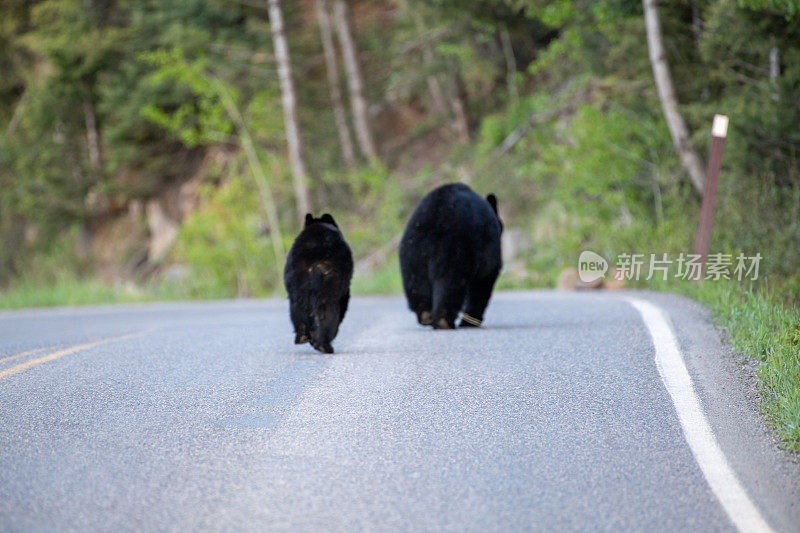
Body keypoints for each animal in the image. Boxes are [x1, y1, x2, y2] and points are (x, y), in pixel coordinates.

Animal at [284, 212, 354, 354]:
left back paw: (302, 335)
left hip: (295, 277)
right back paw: (324, 344)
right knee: (328, 307)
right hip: (332, 279)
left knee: (297, 306)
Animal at [398, 185, 504, 330]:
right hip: (456, 248)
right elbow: (482, 284)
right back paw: (444, 321)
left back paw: (426, 315)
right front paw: (470, 322)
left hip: (412, 250)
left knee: (416, 282)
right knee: (450, 283)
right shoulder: (488, 253)